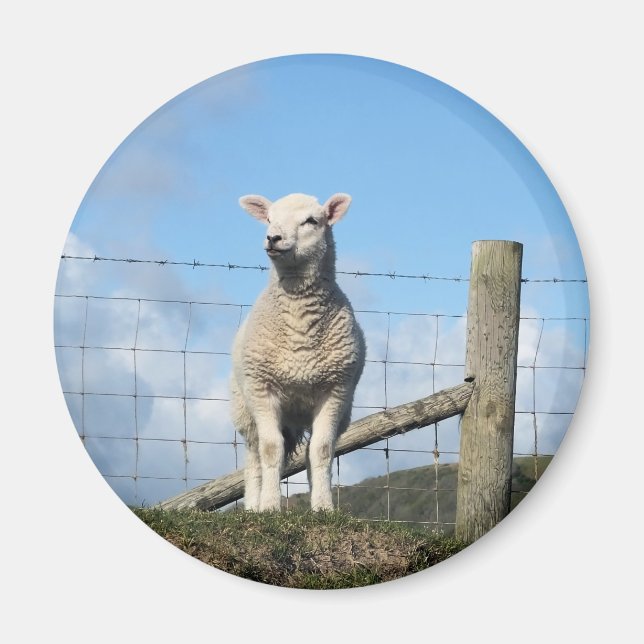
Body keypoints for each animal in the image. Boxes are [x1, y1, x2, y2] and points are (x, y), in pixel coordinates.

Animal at [230, 192, 366, 512]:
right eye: (268, 218)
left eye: (311, 221)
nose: (273, 238)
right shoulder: (262, 388)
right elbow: (270, 450)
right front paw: (269, 506)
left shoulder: (335, 390)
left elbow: (322, 450)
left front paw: (324, 507)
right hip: (245, 408)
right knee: (254, 456)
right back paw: (252, 505)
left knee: (309, 451)